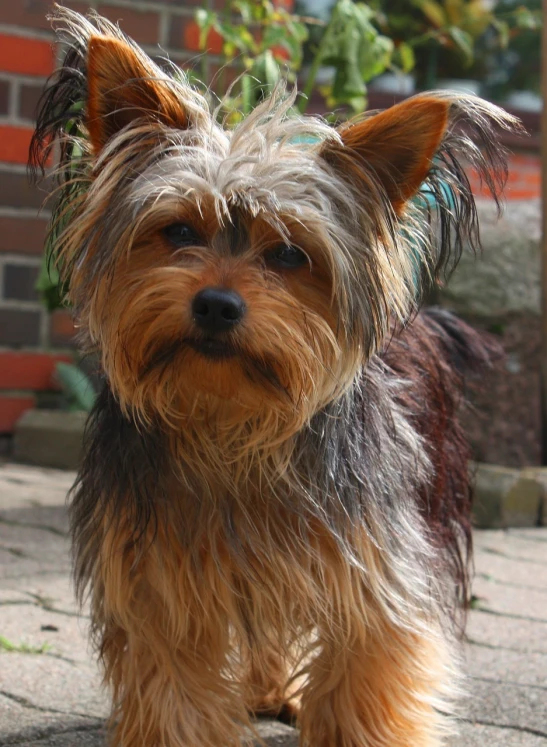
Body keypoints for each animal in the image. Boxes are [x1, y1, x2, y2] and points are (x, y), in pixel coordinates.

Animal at [32, 7, 520, 747]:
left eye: (290, 254)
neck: (231, 424)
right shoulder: (161, 578)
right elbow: (174, 688)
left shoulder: (373, 566)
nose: (215, 304)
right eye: (179, 231)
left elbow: (364, 674)